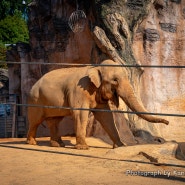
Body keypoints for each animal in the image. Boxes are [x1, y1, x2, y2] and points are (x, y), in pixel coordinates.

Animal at [26, 60, 169, 150]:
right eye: (115, 80)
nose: (167, 122)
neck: (95, 67)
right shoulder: (79, 90)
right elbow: (80, 114)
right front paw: (83, 148)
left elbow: (106, 116)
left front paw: (120, 146)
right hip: (35, 100)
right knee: (36, 120)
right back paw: (32, 143)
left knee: (54, 121)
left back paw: (58, 145)